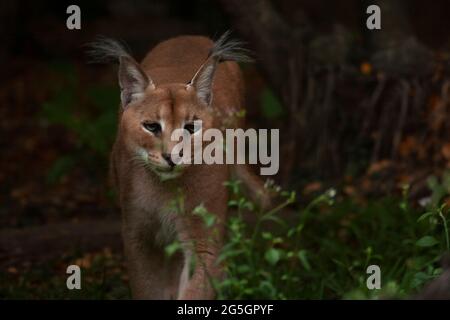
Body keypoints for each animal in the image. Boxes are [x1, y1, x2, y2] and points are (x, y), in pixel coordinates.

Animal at [89, 31, 268, 298]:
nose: (173, 156)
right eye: (151, 126)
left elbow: (196, 288)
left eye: (191, 127)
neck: (165, 191)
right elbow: (147, 288)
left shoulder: (203, 240)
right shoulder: (138, 237)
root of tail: (190, 35)